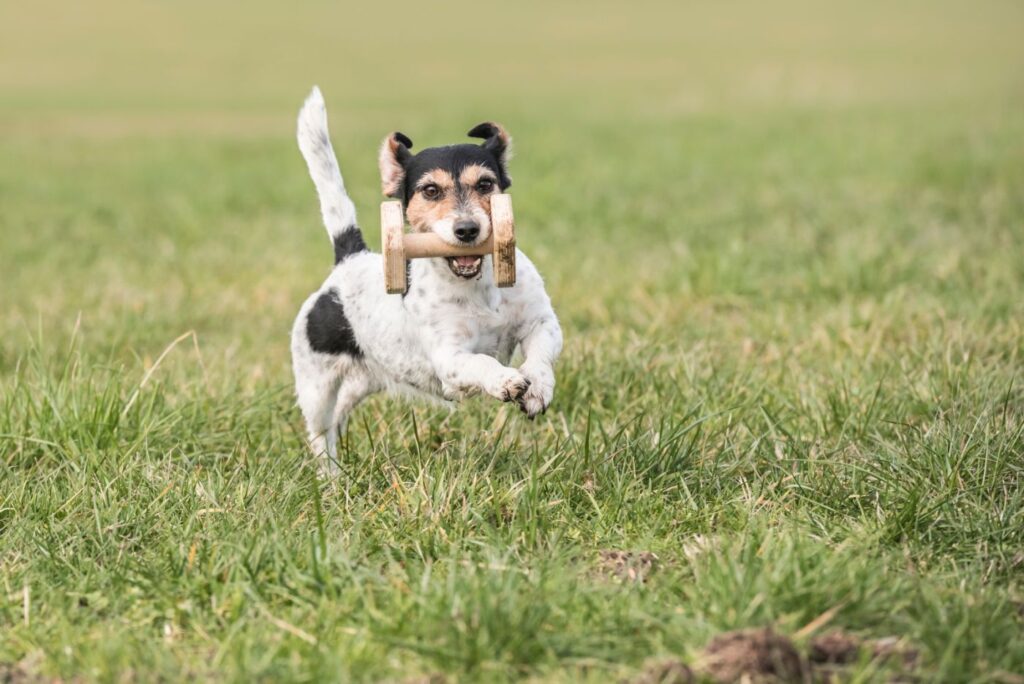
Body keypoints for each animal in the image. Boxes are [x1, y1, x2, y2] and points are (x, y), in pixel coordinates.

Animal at [288, 87, 565, 475]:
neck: (478, 289)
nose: (467, 229)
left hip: (362, 381)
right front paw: (505, 380)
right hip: (317, 388)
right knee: (320, 435)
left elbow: (539, 355)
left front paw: (538, 389)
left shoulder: (542, 323)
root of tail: (349, 259)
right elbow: (482, 363)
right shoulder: (450, 357)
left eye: (486, 184)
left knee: (339, 418)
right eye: (431, 190)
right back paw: (331, 477)